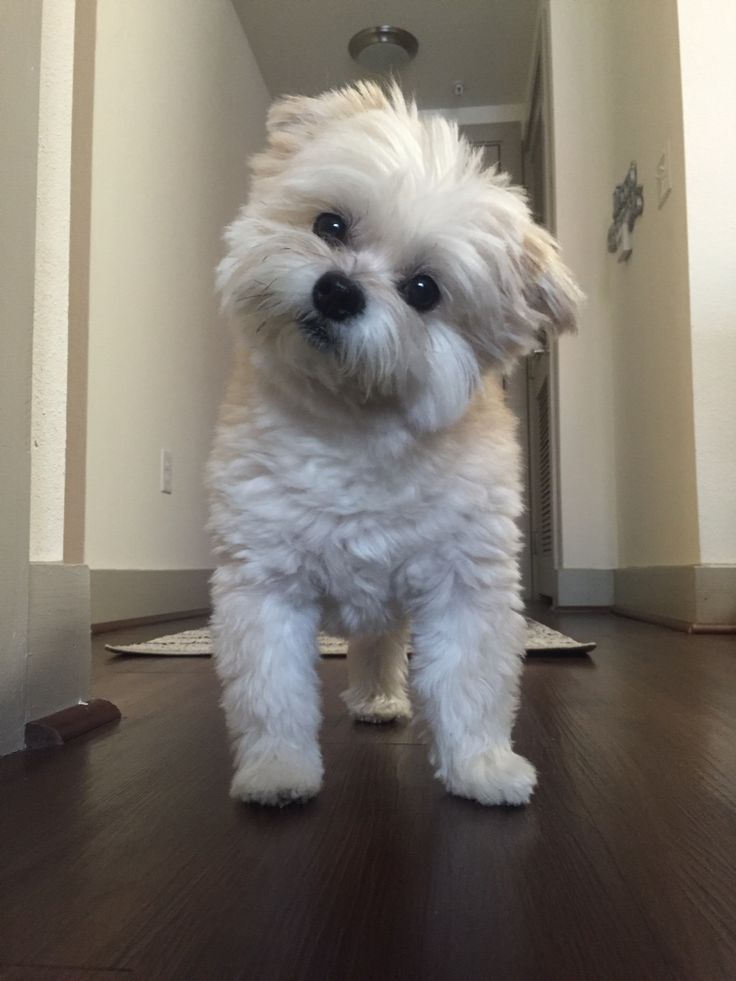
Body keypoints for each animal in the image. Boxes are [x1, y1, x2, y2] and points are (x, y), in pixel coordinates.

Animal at [206, 82, 576, 804]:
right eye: (330, 226)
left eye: (423, 290)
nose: (338, 290)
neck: (355, 424)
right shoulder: (265, 584)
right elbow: (273, 691)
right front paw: (278, 769)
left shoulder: (464, 584)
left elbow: (469, 683)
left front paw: (481, 766)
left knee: (380, 643)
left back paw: (381, 699)